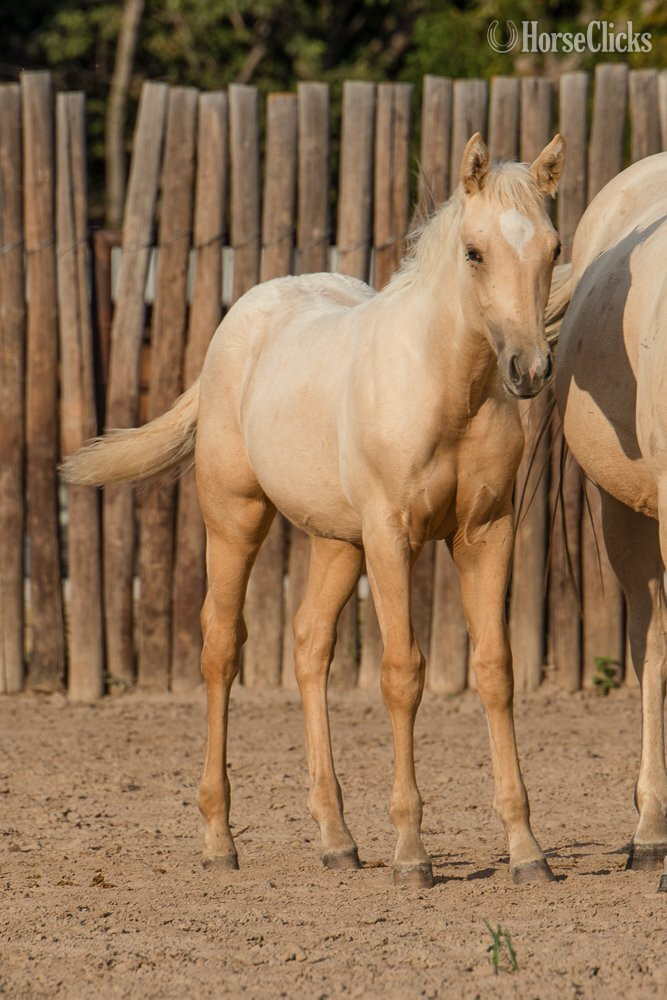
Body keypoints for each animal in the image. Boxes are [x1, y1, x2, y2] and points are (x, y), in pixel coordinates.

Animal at [63, 132, 566, 889]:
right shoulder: (392, 537)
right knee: (220, 648)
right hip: (236, 521)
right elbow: (402, 673)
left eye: (552, 247)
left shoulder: (485, 534)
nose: (528, 370)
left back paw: (336, 838)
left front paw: (525, 848)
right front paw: (411, 853)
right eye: (475, 252)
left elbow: (495, 671)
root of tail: (239, 320)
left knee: (308, 646)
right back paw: (218, 840)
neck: (445, 386)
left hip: (337, 542)